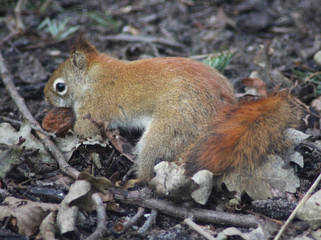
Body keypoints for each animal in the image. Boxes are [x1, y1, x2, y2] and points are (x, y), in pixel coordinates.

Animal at [43, 36, 296, 181]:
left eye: (60, 86)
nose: (45, 96)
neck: (93, 77)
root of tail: (223, 110)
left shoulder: (93, 108)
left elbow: (83, 130)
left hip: (170, 128)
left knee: (150, 167)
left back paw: (134, 181)